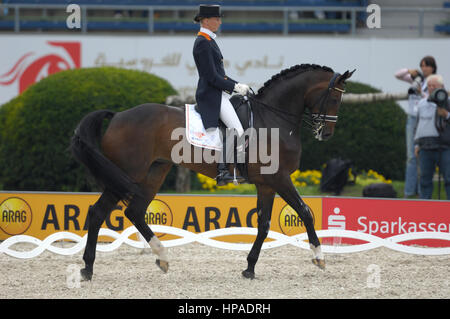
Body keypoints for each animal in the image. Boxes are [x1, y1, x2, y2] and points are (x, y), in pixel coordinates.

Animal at [70, 63, 356, 282]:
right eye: (334, 98)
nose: (326, 133)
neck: (272, 120)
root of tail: (118, 115)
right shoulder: (279, 178)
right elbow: (305, 212)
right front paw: (319, 257)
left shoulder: (266, 184)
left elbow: (264, 225)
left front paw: (249, 268)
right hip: (129, 173)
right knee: (98, 212)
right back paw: (87, 269)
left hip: (154, 172)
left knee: (135, 212)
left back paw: (162, 258)